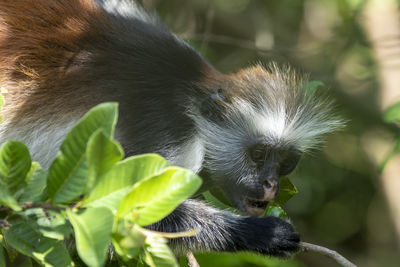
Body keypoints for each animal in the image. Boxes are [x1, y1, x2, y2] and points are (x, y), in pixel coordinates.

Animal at [0, 0, 344, 260]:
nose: (271, 184)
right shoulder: (172, 134)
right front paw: (258, 234)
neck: (190, 94)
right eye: (258, 155)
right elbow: (114, 208)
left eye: (286, 163)